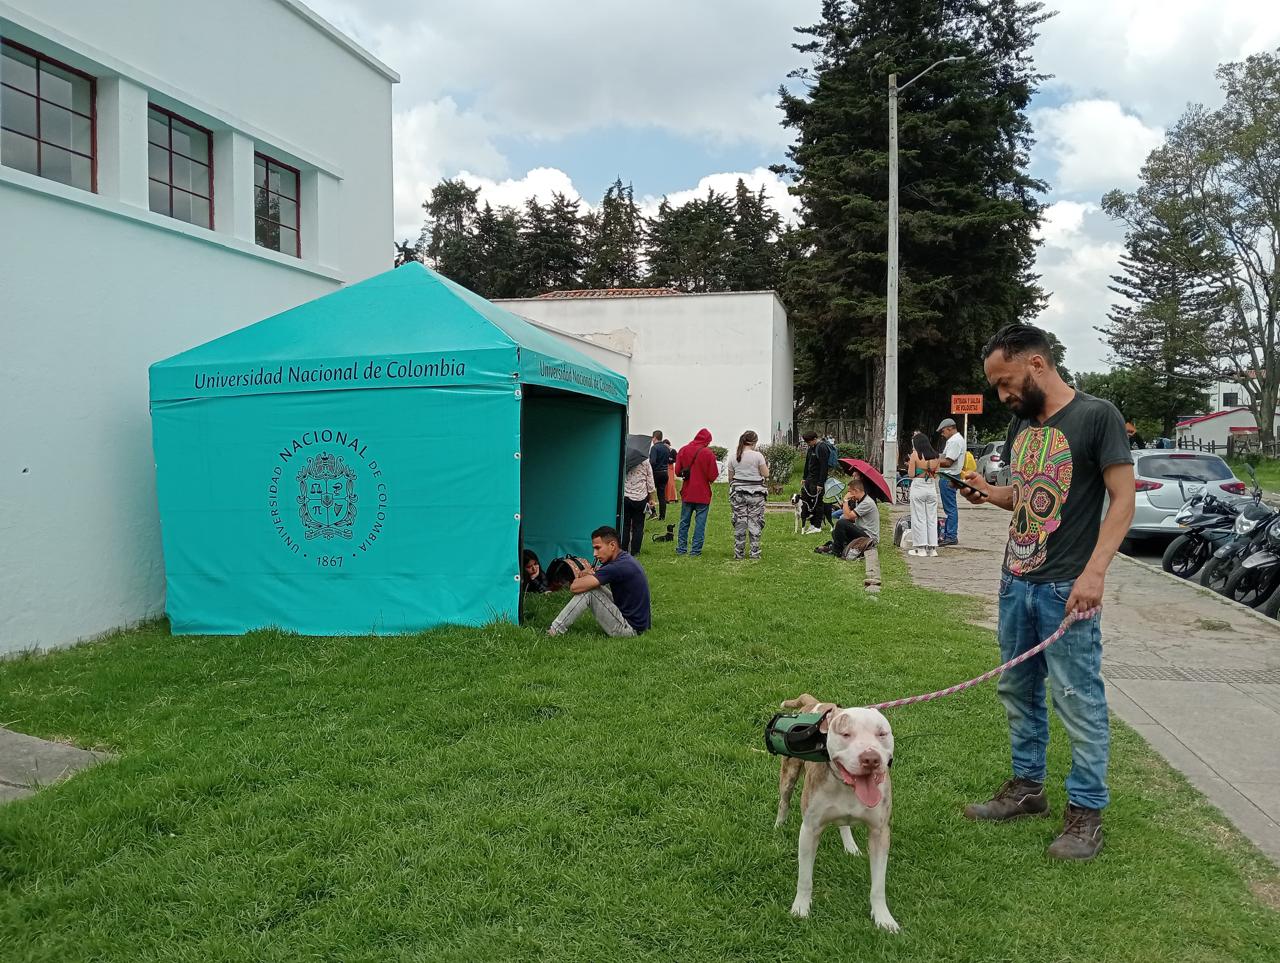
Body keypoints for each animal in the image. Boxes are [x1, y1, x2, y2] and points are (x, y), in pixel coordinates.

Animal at [768, 691, 901, 932]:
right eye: (845, 734)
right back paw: (779, 826)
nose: (871, 759)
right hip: (789, 772)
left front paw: (883, 919)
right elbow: (805, 878)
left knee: (843, 824)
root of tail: (814, 702)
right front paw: (800, 909)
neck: (847, 786)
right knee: (784, 800)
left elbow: (878, 885)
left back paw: (850, 846)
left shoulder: (879, 833)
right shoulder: (809, 830)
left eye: (882, 734)